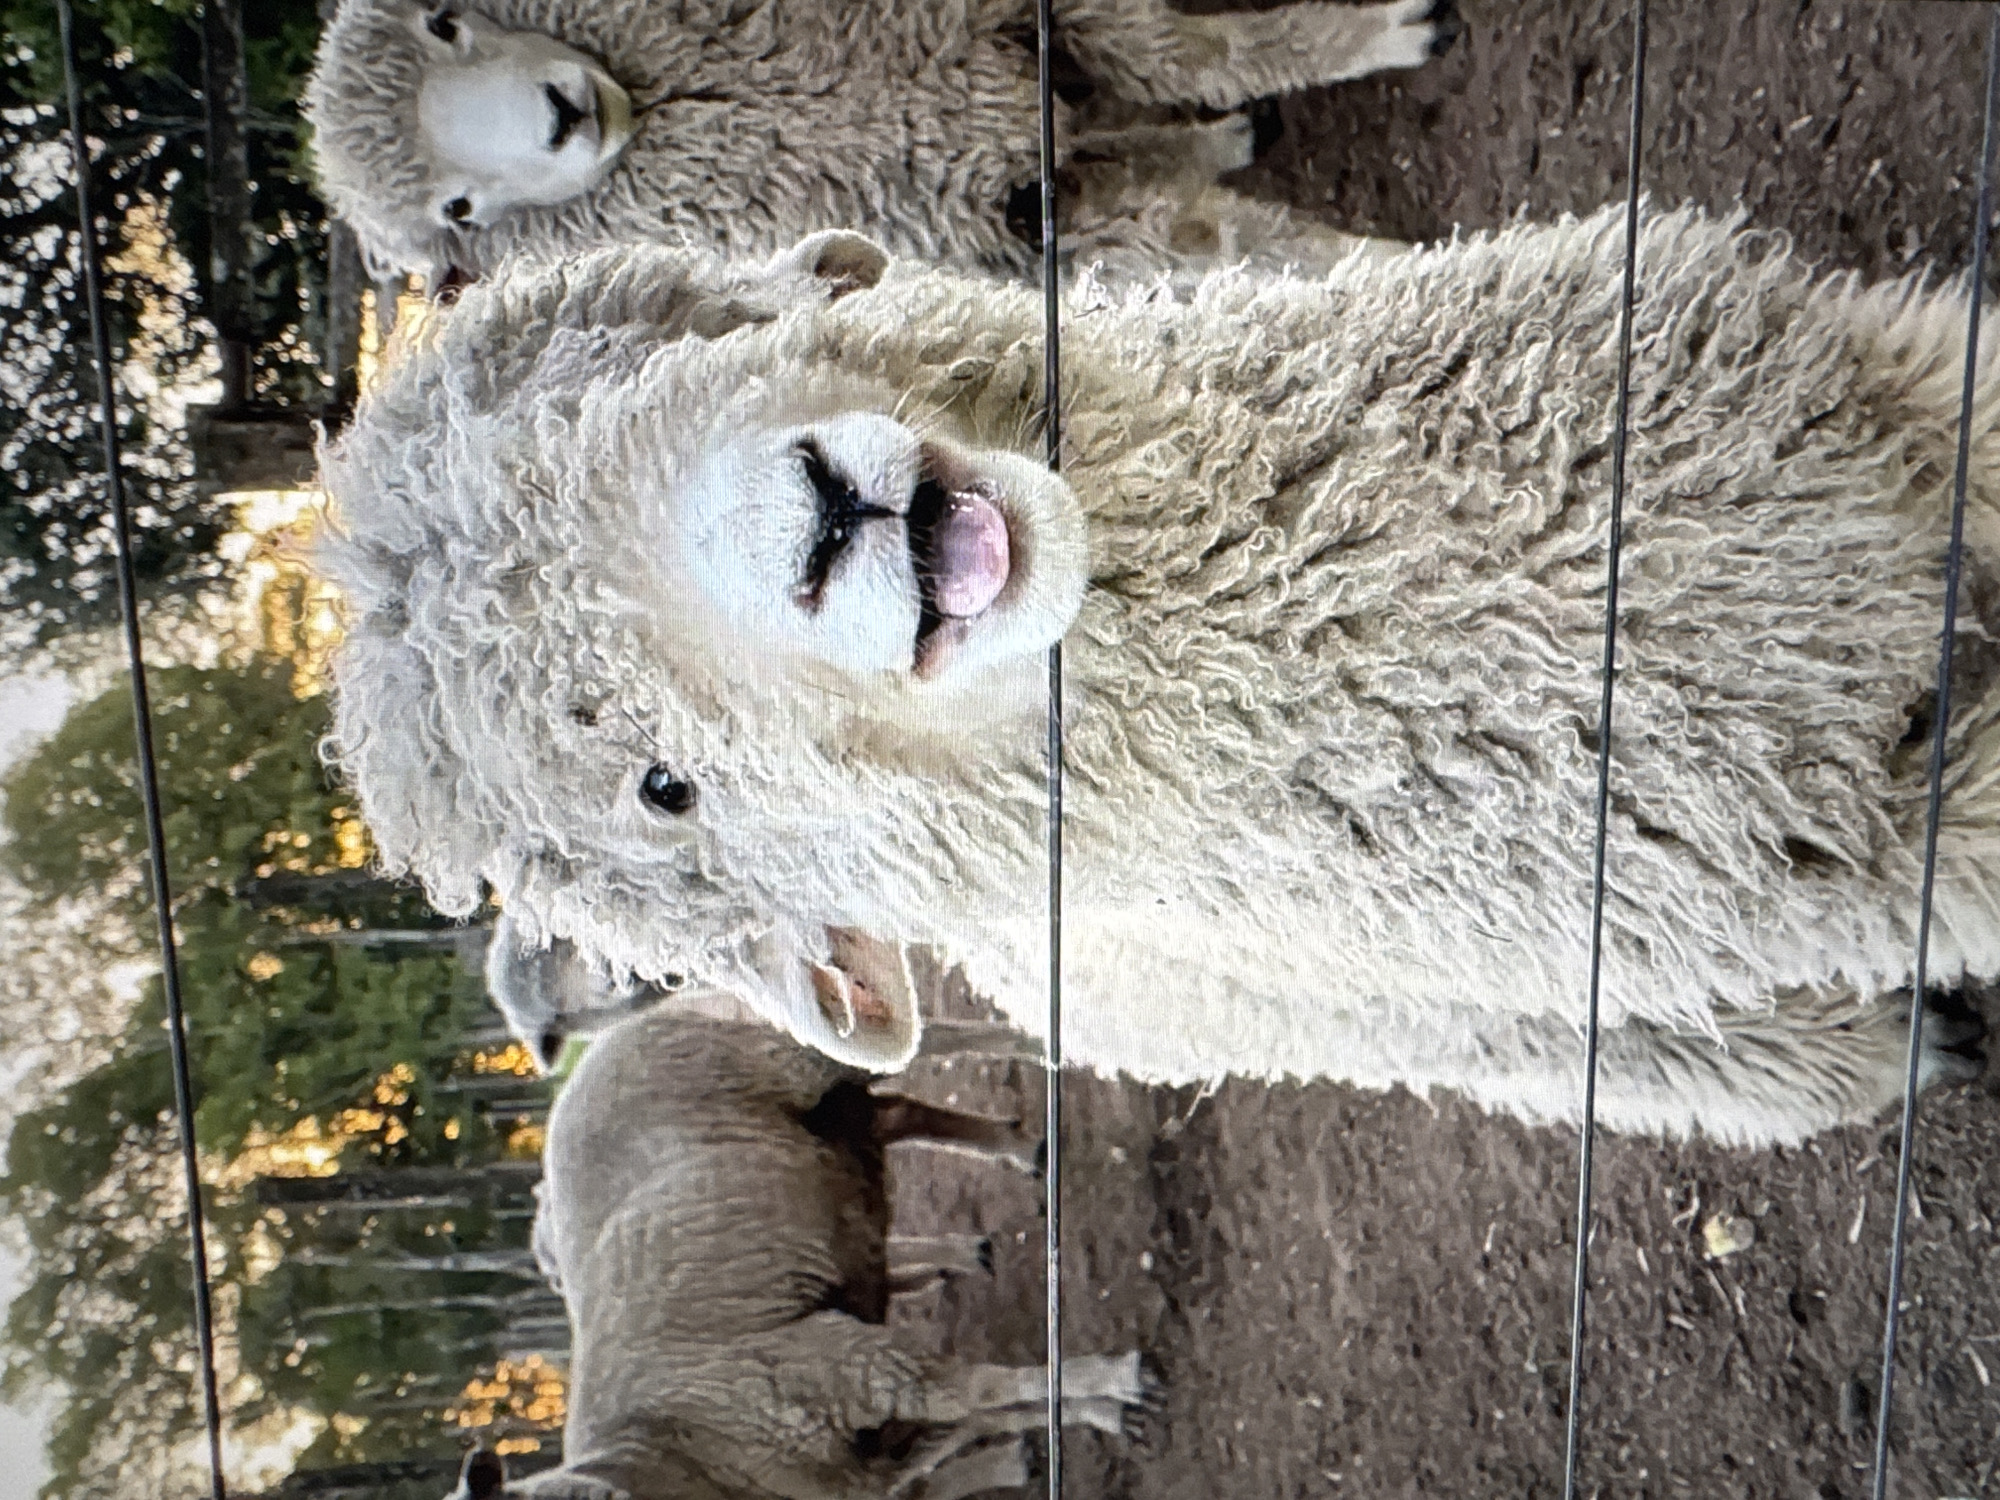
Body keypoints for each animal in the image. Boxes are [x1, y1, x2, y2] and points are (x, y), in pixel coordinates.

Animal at [316, 206, 2000, 1146]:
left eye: (653, 358)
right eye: (665, 791)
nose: (821, 523)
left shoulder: (1866, 392)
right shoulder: (1817, 866)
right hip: (1431, 1012)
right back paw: (1865, 1056)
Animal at [470, 1007, 1154, 1500]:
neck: (674, 1455)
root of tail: (593, 1046)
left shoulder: (835, 1360)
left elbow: (983, 1389)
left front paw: (1115, 1380)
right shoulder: (863, 1463)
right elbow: (977, 1417)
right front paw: (1090, 1417)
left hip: (791, 1054)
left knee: (935, 1039)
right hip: (830, 1118)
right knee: (898, 1109)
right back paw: (1015, 1151)